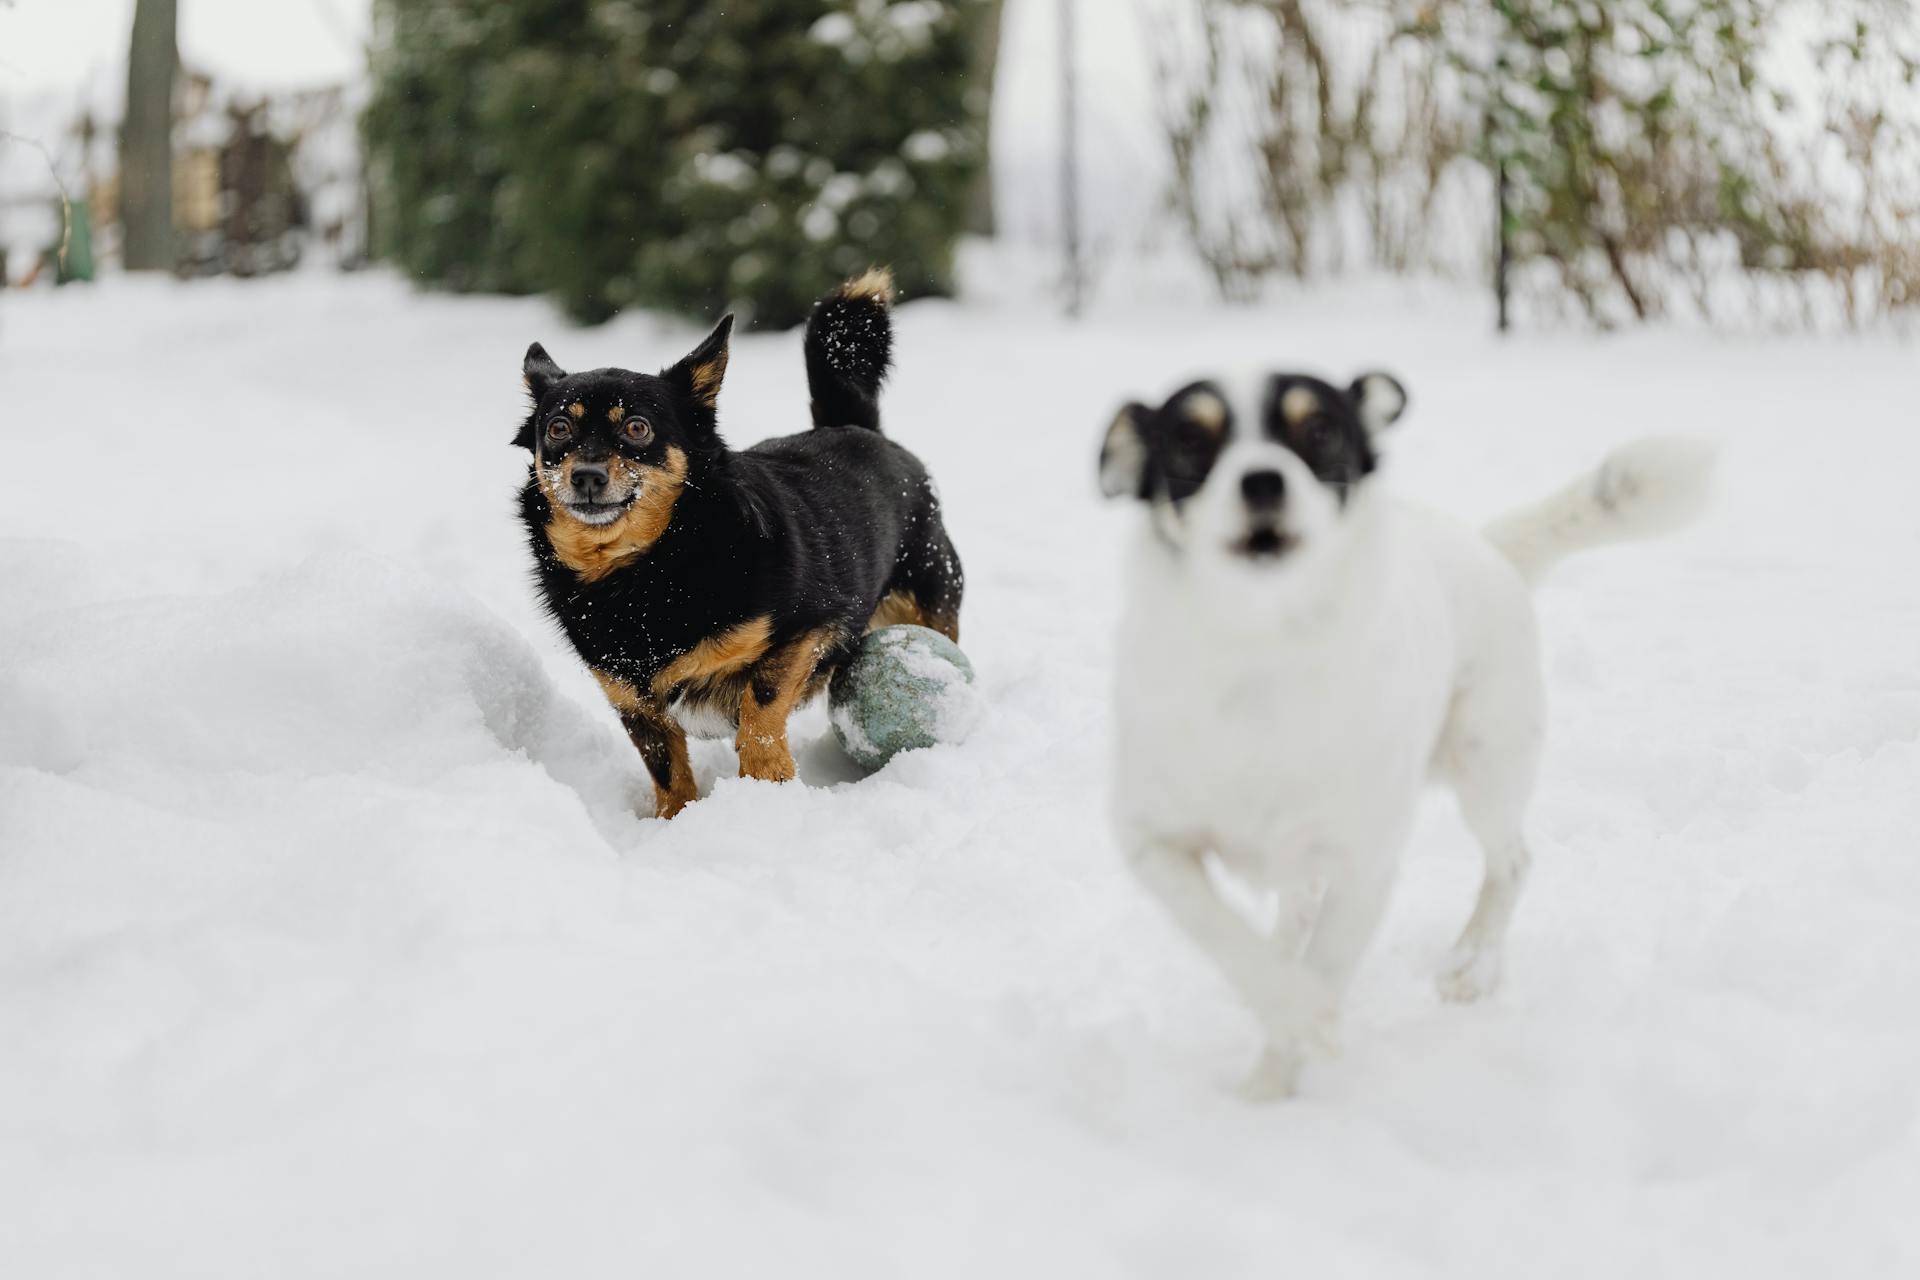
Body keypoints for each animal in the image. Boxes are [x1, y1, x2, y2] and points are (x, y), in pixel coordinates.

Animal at [514, 270, 960, 821]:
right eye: (558, 429)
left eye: (637, 428)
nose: (587, 476)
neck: (649, 567)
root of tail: (856, 425)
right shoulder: (631, 700)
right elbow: (666, 769)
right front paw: (674, 822)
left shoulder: (806, 630)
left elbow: (759, 708)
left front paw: (768, 784)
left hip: (930, 598)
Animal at [1098, 370, 1712, 1105]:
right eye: (1191, 438)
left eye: (1320, 429)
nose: (1263, 482)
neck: (1264, 655)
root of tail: (1487, 546)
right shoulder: (1152, 840)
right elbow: (1224, 936)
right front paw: (1284, 1023)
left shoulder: (1365, 865)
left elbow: (1325, 967)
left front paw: (1280, 1075)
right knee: (1294, 914)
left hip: (1485, 767)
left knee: (1512, 863)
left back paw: (1471, 968)